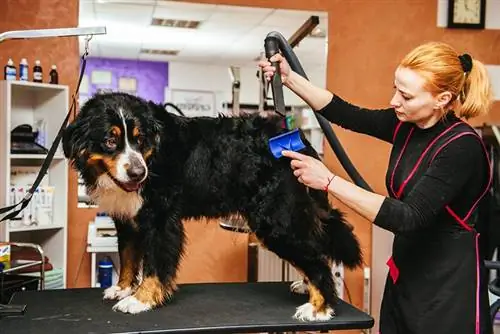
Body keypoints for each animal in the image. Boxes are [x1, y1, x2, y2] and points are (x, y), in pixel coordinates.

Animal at [62, 91, 362, 320]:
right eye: (111, 141)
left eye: (140, 140)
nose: (138, 173)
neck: (153, 156)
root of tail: (297, 143)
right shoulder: (127, 219)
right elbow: (127, 257)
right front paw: (123, 288)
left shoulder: (160, 220)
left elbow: (154, 265)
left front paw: (140, 299)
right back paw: (307, 287)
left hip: (275, 220)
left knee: (317, 259)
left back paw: (319, 307)